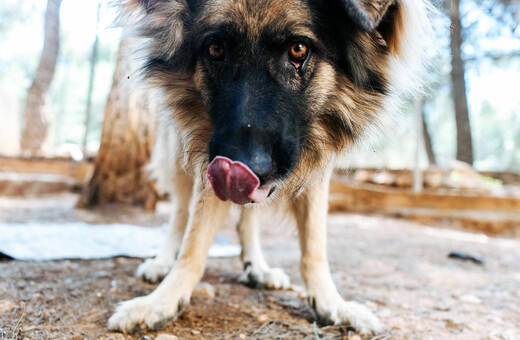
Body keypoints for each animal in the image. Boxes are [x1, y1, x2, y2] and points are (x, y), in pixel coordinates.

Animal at [107, 0, 432, 334]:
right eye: (215, 49)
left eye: (298, 50)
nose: (242, 169)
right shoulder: (207, 155)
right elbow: (193, 243)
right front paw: (162, 301)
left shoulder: (315, 166)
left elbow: (314, 245)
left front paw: (330, 303)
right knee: (180, 213)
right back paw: (162, 262)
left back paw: (257, 267)